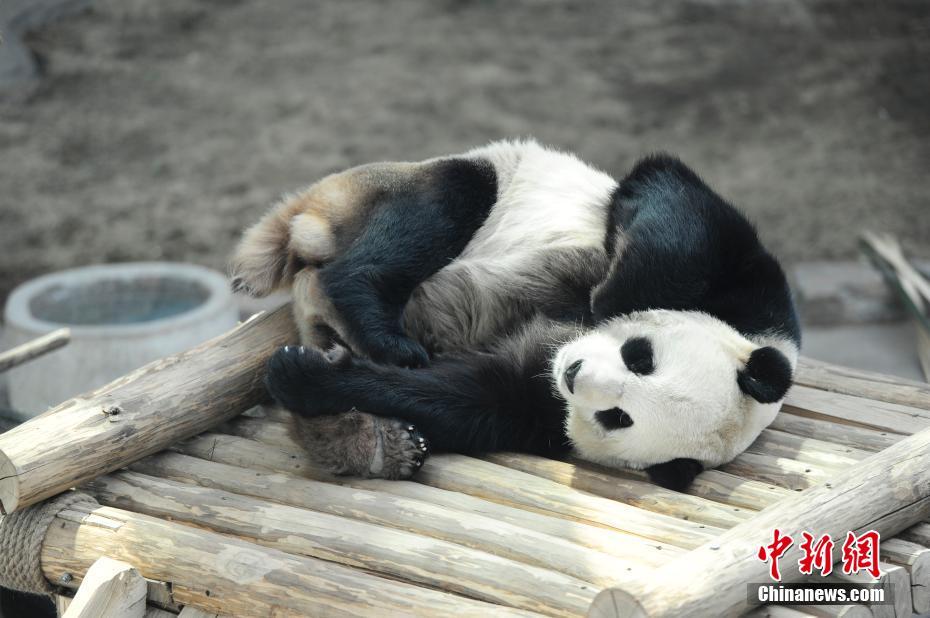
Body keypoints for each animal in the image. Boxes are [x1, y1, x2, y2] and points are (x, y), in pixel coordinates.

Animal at [230, 139, 800, 491]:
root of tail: (308, 219)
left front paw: (309, 379)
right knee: (450, 199)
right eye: (642, 357)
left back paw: (371, 442)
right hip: (408, 183)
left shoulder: (542, 413)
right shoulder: (758, 300)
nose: (574, 372)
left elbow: (468, 399)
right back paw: (375, 327)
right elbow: (675, 204)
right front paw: (609, 295)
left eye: (618, 417)